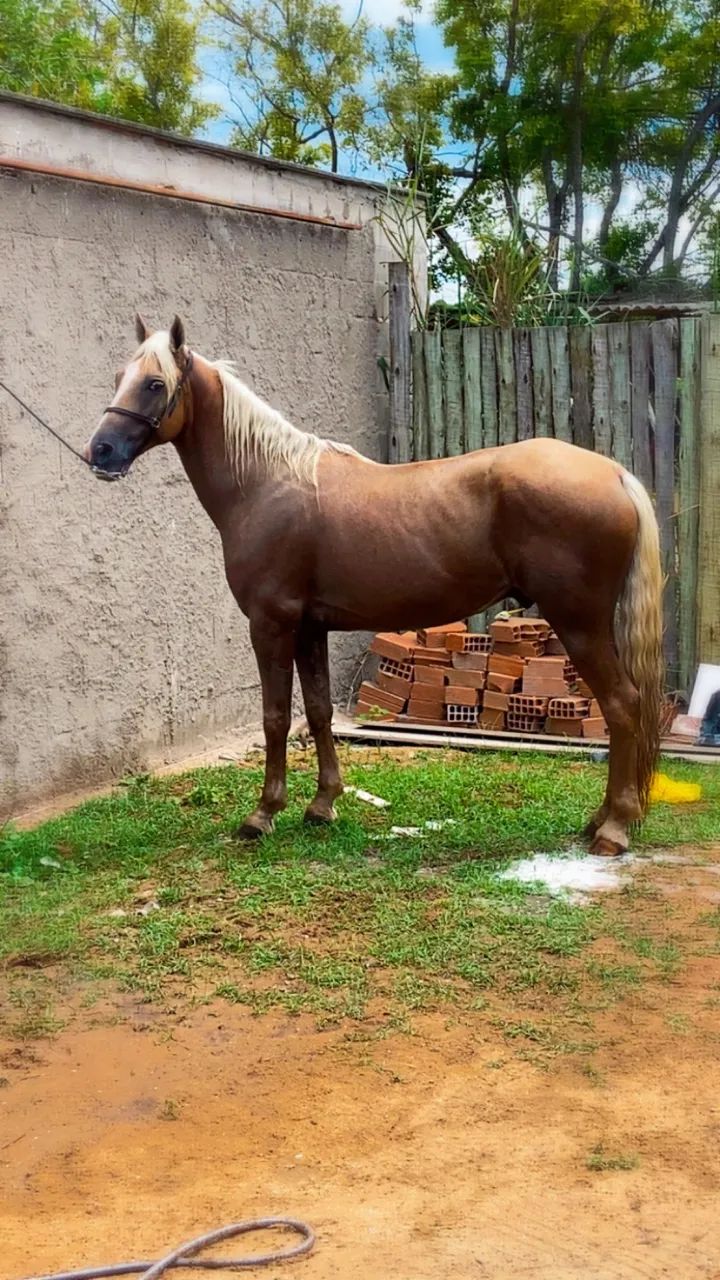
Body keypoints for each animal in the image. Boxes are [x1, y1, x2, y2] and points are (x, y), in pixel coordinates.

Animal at [85, 314, 664, 856]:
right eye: (117, 377)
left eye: (154, 383)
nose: (101, 451)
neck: (265, 483)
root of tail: (615, 474)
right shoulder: (310, 628)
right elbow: (318, 711)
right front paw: (322, 805)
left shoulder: (271, 624)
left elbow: (274, 717)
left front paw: (263, 814)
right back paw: (601, 819)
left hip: (578, 622)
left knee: (622, 705)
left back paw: (613, 828)